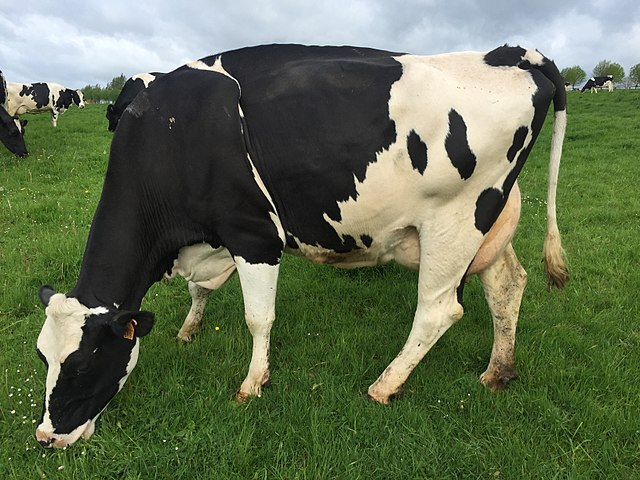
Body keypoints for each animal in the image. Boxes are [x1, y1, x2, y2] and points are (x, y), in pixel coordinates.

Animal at [35, 44, 568, 448]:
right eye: (43, 358)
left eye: (82, 365)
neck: (173, 132)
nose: (46, 437)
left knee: (438, 310)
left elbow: (258, 318)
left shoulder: (253, 235)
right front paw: (189, 329)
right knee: (507, 286)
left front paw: (253, 384)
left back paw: (384, 385)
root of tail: (505, 53)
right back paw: (498, 371)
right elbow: (200, 291)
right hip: (490, 223)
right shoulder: (214, 240)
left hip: (454, 220)